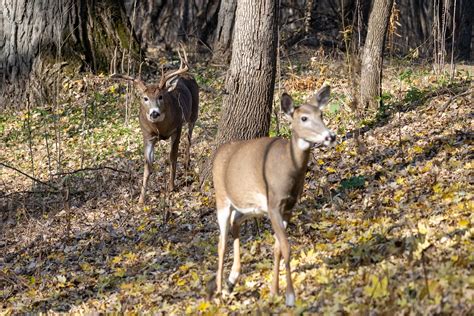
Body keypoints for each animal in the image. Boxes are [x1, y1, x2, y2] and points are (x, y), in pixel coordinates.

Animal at [111, 48, 198, 204]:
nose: (154, 113)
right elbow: (147, 165)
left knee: (189, 137)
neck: (160, 128)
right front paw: (141, 200)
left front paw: (171, 187)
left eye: (160, 96)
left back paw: (187, 163)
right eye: (145, 98)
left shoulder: (177, 128)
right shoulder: (147, 136)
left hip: (194, 112)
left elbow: (172, 157)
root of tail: (188, 75)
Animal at [209, 85, 336, 308]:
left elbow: (277, 248)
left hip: (249, 207)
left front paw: (275, 292)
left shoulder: (288, 208)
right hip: (222, 198)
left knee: (235, 224)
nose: (330, 136)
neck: (288, 168)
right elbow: (286, 247)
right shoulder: (274, 204)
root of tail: (218, 154)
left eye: (321, 114)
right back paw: (218, 292)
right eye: (303, 118)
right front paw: (290, 297)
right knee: (221, 242)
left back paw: (231, 281)